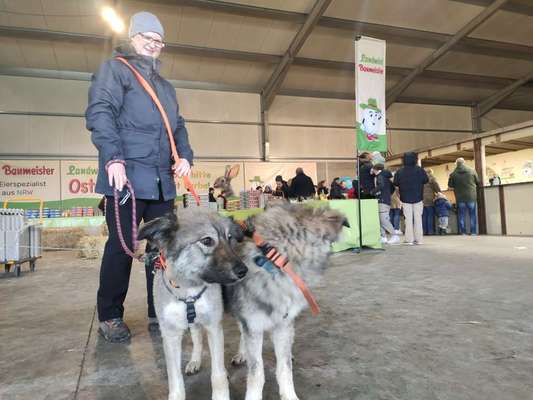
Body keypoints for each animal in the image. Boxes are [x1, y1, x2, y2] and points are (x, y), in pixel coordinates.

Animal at [136, 209, 246, 400]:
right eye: (207, 240)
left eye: (229, 237)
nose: (243, 270)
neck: (188, 290)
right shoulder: (170, 335)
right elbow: (175, 379)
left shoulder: (214, 327)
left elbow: (217, 375)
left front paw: (221, 394)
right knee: (196, 336)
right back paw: (195, 360)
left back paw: (242, 354)